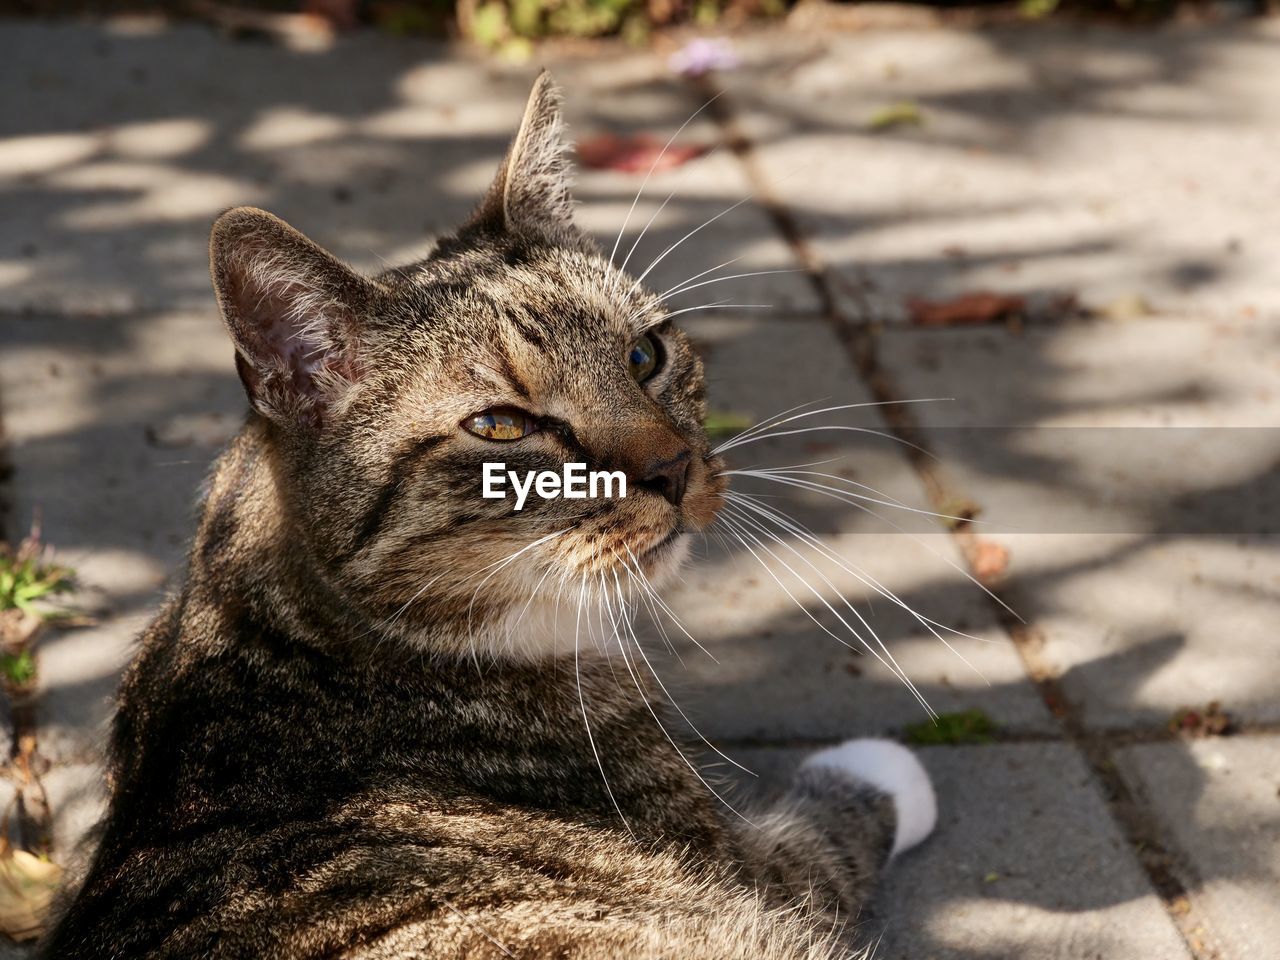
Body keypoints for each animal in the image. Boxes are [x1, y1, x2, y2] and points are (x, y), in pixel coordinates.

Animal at [40, 71, 936, 957]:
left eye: (645, 355)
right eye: (502, 426)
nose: (674, 468)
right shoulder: (747, 870)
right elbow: (824, 845)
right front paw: (884, 766)